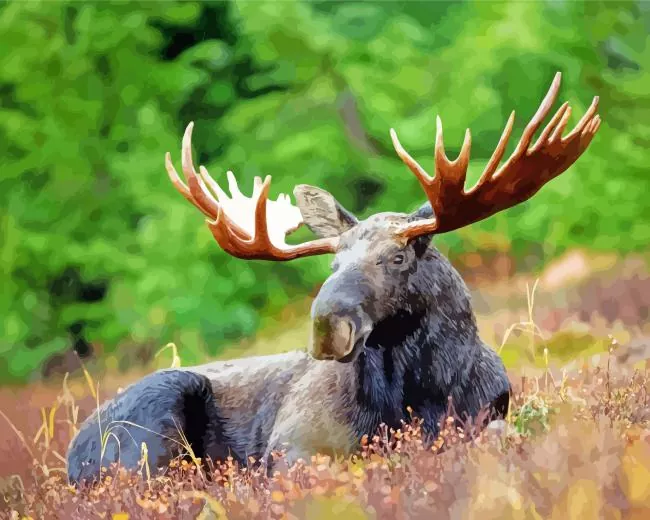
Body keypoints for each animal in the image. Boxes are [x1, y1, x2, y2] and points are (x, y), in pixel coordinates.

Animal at [67, 73, 600, 484]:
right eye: (333, 264)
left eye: (398, 257)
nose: (327, 325)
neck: (422, 394)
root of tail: (72, 455)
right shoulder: (292, 445)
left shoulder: (488, 416)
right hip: (149, 431)